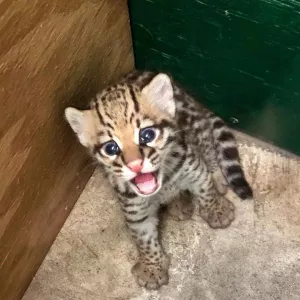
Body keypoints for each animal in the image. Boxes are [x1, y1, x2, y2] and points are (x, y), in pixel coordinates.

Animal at [64, 70, 252, 290]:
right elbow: (144, 238)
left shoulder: (194, 168)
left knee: (209, 148)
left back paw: (215, 180)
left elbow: (206, 190)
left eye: (147, 135)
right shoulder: (134, 209)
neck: (164, 184)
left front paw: (217, 210)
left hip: (197, 126)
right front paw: (151, 267)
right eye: (111, 148)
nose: (135, 165)